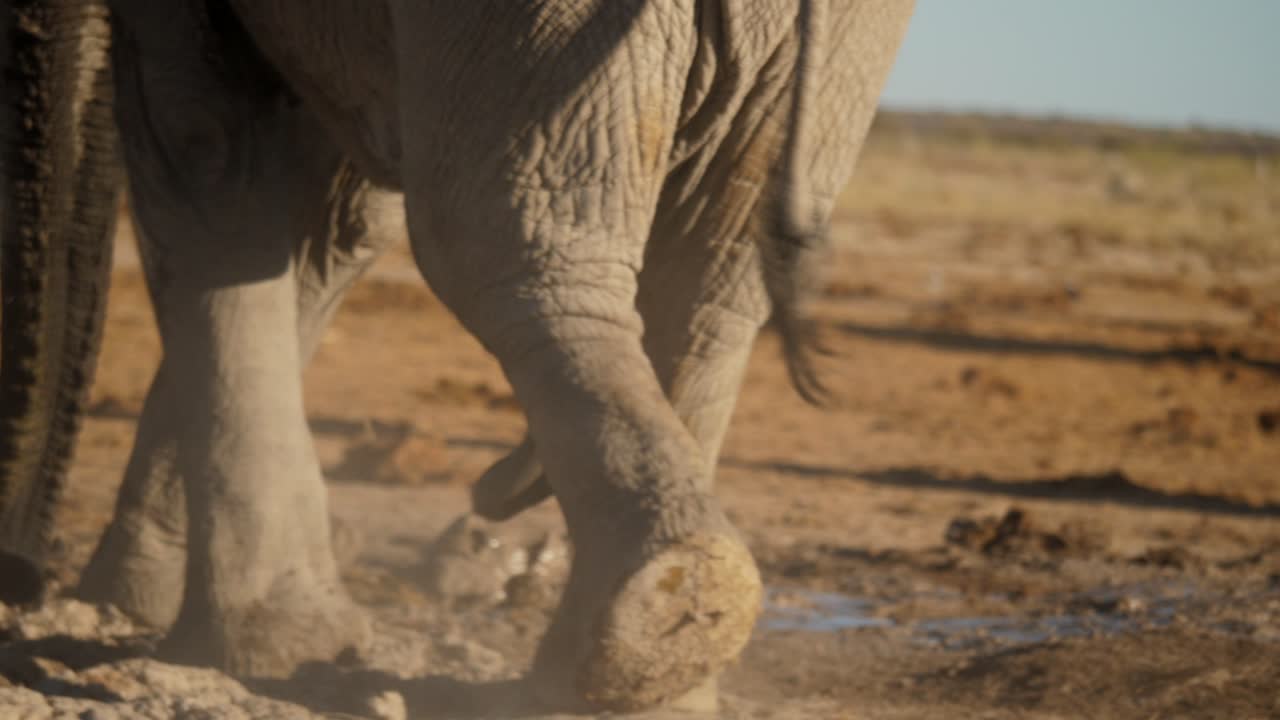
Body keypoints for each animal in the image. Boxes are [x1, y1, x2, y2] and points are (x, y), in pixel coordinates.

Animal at [0, 0, 914, 712]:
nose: (23, 577)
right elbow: (326, 223)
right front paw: (138, 603)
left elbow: (209, 153)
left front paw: (266, 649)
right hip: (841, 51)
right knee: (712, 285)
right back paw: (660, 664)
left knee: (500, 240)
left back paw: (643, 630)